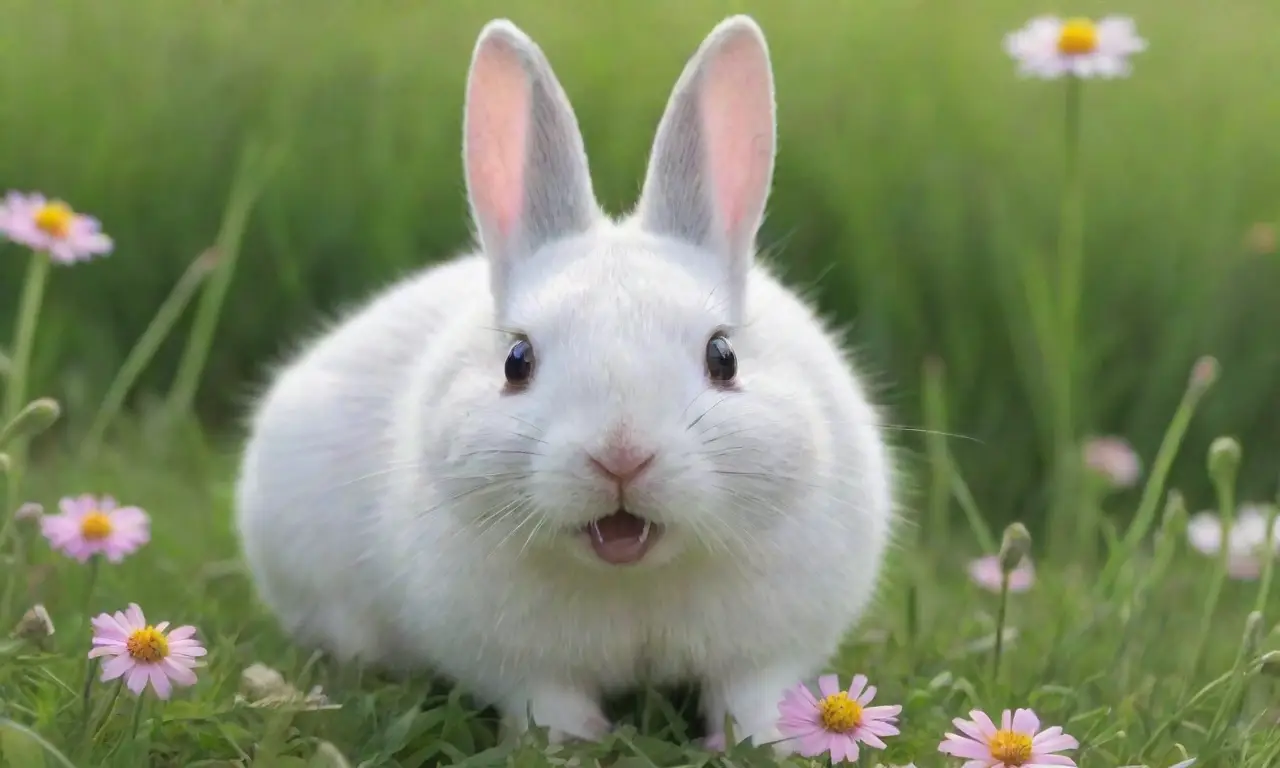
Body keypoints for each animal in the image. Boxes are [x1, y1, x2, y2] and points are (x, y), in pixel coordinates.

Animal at [234, 14, 897, 753]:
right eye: (516, 361)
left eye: (723, 357)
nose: (621, 455)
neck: (634, 577)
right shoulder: (521, 666)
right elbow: (550, 702)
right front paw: (570, 745)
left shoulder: (765, 654)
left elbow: (749, 698)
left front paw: (767, 743)